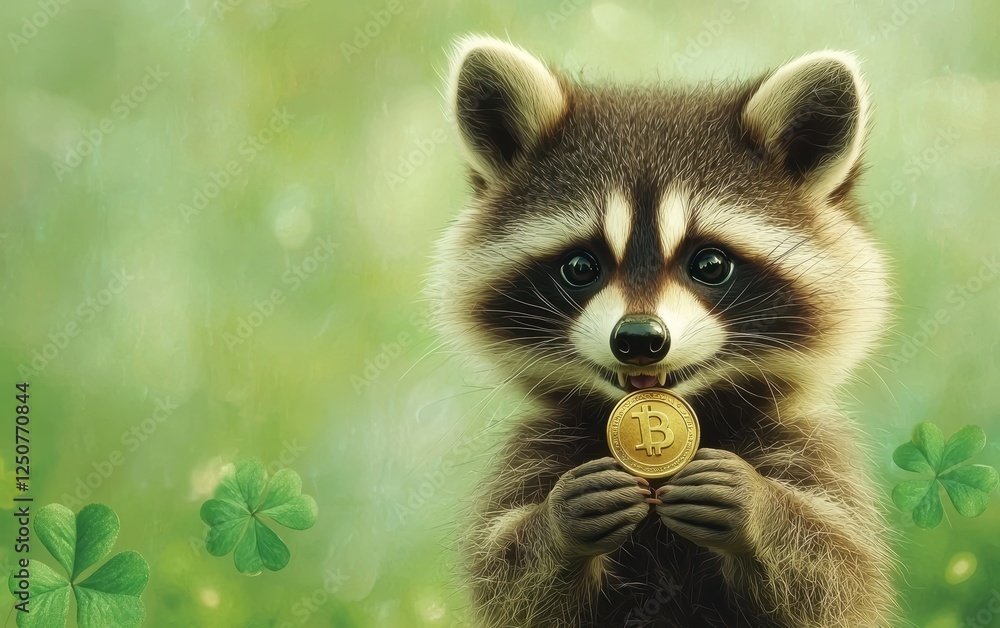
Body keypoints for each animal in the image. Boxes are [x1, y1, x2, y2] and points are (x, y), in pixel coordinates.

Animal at [430, 35, 896, 628]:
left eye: (710, 265)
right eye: (581, 267)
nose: (638, 338)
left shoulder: (809, 449)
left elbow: (837, 576)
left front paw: (759, 508)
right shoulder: (533, 452)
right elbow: (509, 585)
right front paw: (558, 526)